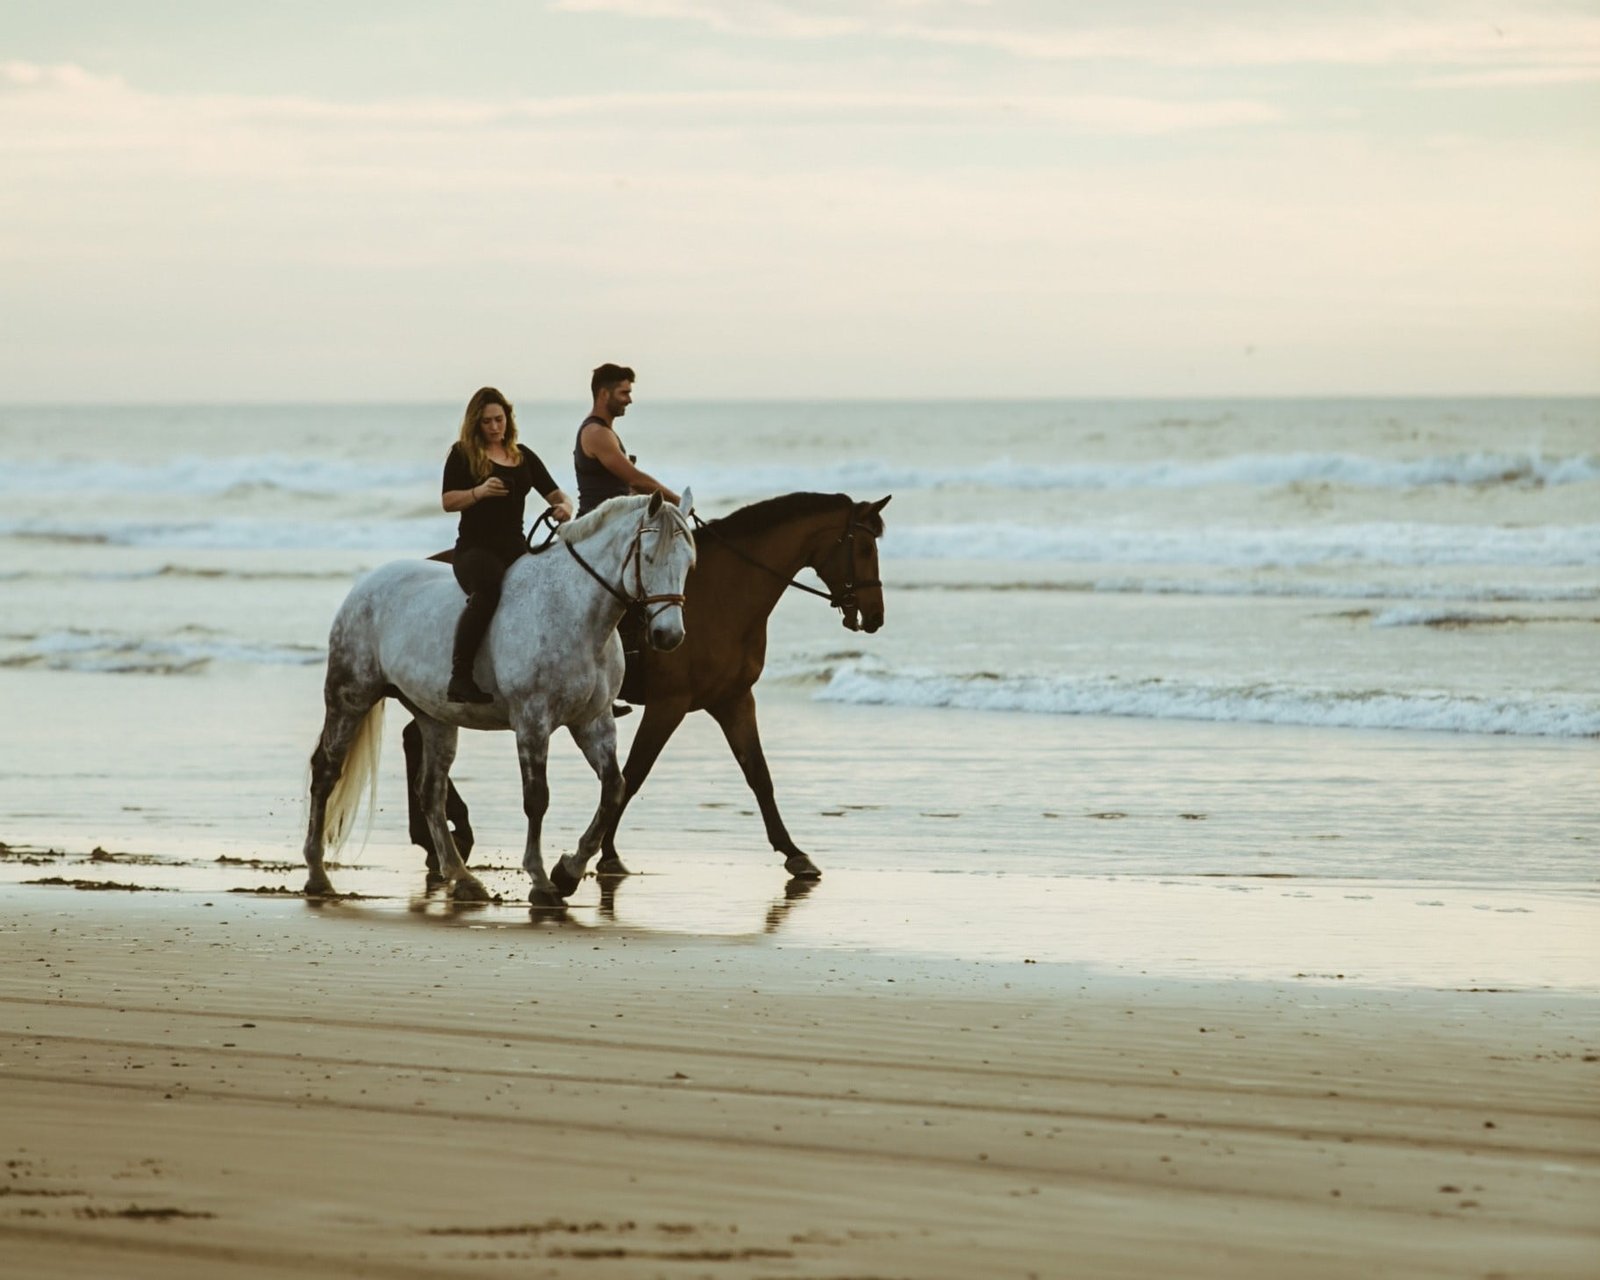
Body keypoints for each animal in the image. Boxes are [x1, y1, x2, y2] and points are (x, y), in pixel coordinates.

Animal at [301, 490, 696, 907]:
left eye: (689, 562)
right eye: (648, 557)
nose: (668, 635)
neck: (574, 612)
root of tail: (365, 586)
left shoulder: (593, 721)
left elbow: (613, 790)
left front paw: (568, 872)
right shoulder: (532, 720)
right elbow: (537, 798)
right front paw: (542, 881)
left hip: (434, 716)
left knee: (431, 792)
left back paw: (462, 878)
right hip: (350, 697)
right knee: (326, 771)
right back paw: (317, 875)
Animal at [403, 491, 889, 890]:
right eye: (865, 548)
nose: (875, 615)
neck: (725, 595)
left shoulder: (733, 700)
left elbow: (759, 776)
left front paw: (795, 854)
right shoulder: (668, 705)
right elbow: (634, 775)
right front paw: (600, 855)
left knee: (415, 738)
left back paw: (440, 837)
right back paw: (445, 837)